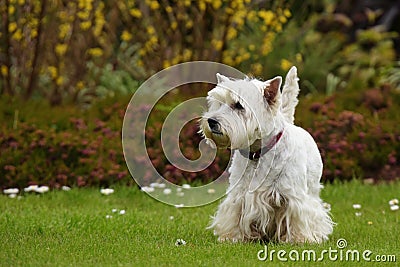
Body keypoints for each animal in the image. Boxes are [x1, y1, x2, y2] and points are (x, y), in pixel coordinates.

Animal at [200, 67, 334, 245]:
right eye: (219, 103)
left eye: (238, 105)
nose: (211, 121)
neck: (257, 153)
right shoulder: (239, 194)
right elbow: (235, 212)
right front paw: (232, 237)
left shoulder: (293, 196)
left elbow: (298, 218)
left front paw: (299, 239)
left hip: (311, 189)